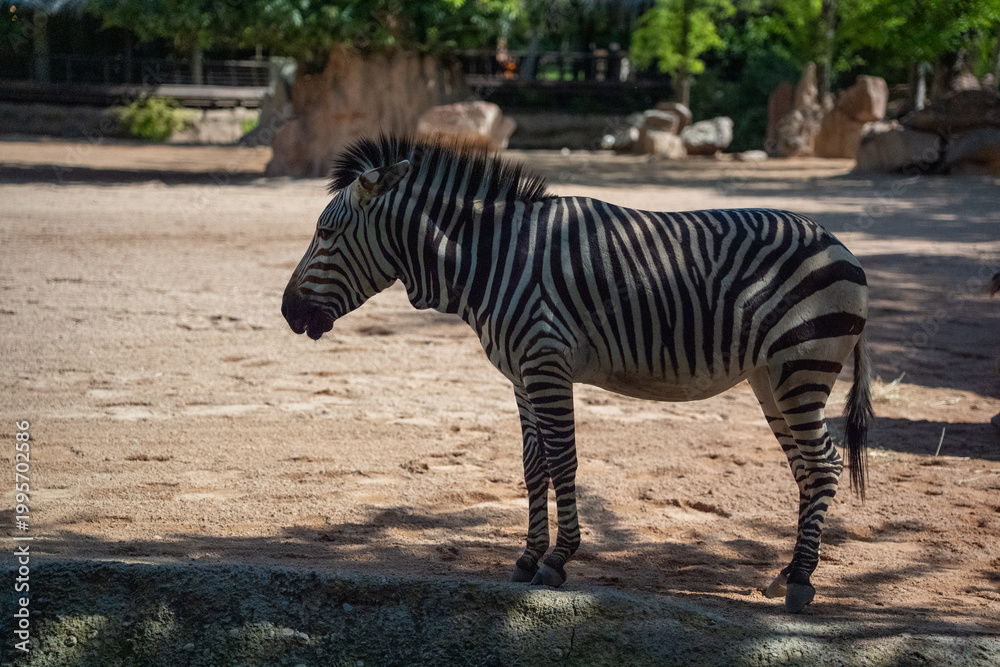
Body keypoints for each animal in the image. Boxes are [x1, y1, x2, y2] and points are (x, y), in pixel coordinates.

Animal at [281, 135, 873, 614]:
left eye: (325, 232)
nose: (286, 313)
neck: (491, 260)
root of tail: (840, 245)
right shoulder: (521, 375)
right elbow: (533, 465)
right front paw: (526, 557)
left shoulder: (546, 361)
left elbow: (563, 461)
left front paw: (557, 561)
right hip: (770, 377)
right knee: (805, 468)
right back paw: (786, 573)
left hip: (802, 364)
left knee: (824, 464)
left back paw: (801, 582)